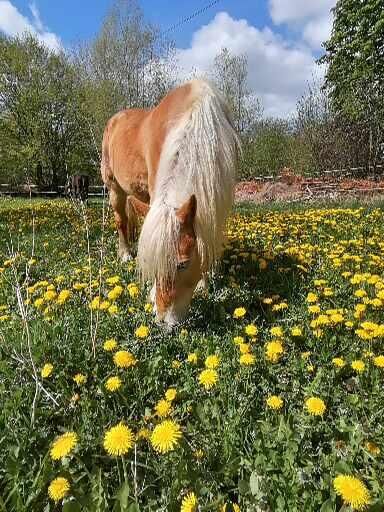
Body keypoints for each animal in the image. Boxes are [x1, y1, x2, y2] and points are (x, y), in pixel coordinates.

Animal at [102, 79, 240, 328]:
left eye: (182, 265)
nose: (163, 322)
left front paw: (204, 283)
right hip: (114, 188)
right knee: (121, 220)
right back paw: (125, 253)